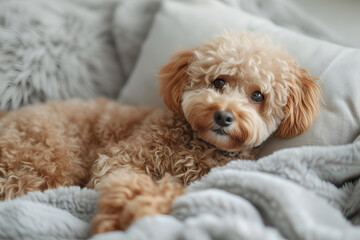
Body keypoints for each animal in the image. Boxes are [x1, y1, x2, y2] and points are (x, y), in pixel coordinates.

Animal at [0, 31, 320, 234]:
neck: (196, 144)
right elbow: (130, 181)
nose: (223, 115)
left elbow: (172, 189)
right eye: (218, 82)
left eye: (257, 96)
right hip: (47, 163)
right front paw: (126, 213)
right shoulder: (121, 158)